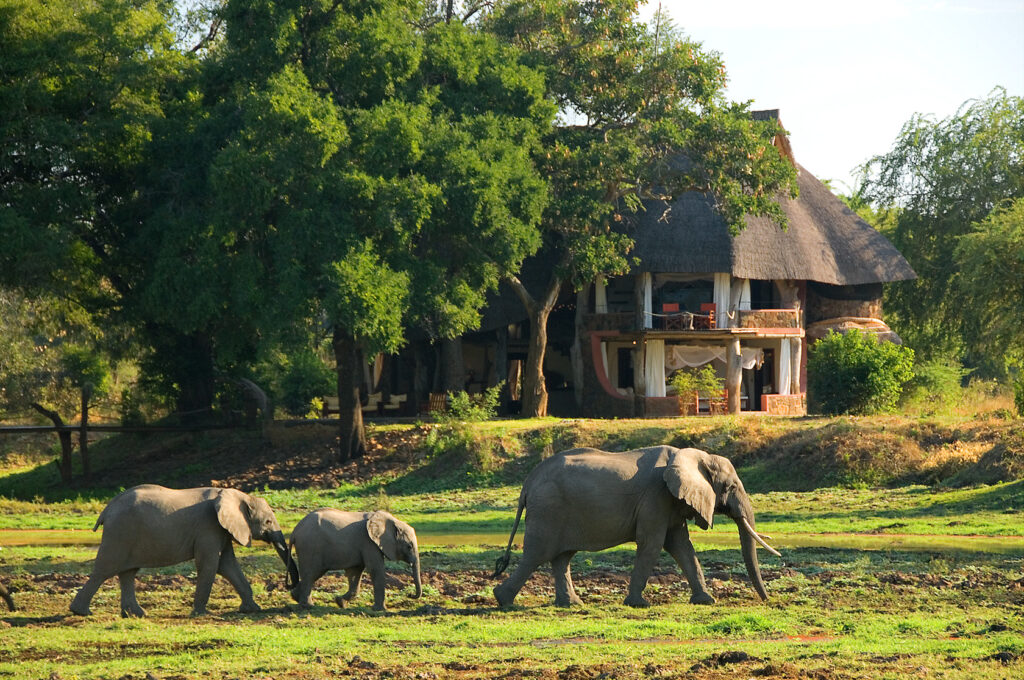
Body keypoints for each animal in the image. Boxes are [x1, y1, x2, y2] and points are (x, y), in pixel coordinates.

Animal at [70, 484, 290, 617]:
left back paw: (136, 615)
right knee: (104, 570)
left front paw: (251, 609)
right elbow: (211, 564)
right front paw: (201, 614)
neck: (237, 494)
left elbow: (227, 565)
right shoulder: (208, 526)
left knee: (127, 573)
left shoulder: (221, 529)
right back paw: (81, 612)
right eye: (268, 522)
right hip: (119, 532)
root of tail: (106, 510)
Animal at [287, 509, 421, 611]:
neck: (392, 521)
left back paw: (295, 597)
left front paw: (340, 602)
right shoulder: (369, 542)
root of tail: (295, 531)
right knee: (311, 573)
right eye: (409, 547)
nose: (410, 595)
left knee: (314, 573)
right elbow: (375, 569)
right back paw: (307, 606)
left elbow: (355, 571)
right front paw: (381, 610)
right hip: (310, 547)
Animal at [491, 446, 780, 608]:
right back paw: (503, 601)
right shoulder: (656, 495)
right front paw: (639, 604)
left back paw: (571, 605)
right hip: (548, 510)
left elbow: (681, 546)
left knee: (561, 557)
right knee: (537, 554)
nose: (767, 601)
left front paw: (706, 601)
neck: (693, 455)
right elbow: (653, 544)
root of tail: (527, 483)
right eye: (730, 487)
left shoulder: (671, 501)